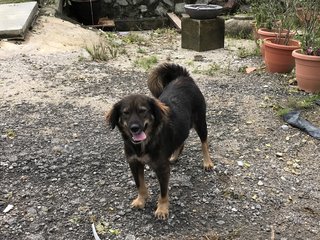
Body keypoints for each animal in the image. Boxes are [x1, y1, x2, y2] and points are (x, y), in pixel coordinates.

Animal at [106, 63, 214, 219]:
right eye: (125, 113)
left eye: (143, 111)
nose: (134, 128)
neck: (144, 144)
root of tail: (183, 76)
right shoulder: (134, 163)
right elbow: (140, 184)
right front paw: (141, 200)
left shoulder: (162, 168)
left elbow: (163, 192)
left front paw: (162, 209)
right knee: (181, 140)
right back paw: (174, 156)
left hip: (200, 122)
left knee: (204, 143)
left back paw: (207, 162)